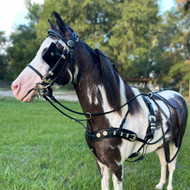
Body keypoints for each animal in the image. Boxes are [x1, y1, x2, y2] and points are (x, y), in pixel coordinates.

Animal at [12, 11, 189, 190]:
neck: (113, 114)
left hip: (175, 143)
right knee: (163, 162)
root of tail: (176, 95)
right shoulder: (101, 163)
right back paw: (160, 184)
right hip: (161, 144)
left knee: (171, 165)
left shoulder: (116, 165)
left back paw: (168, 186)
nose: (16, 86)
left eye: (51, 52)